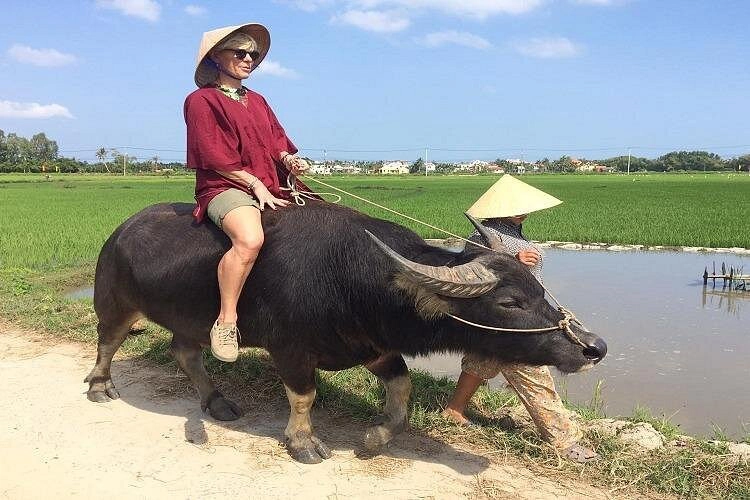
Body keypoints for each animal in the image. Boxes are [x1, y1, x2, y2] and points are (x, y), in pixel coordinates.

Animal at [85, 200, 606, 463]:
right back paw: (99, 387)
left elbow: (403, 388)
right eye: (509, 303)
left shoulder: (373, 346)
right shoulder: (290, 349)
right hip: (115, 301)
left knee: (185, 353)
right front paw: (303, 444)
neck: (352, 280)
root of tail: (121, 228)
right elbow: (304, 396)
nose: (593, 347)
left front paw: (375, 438)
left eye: (538, 289)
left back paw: (216, 402)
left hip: (190, 318)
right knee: (108, 341)